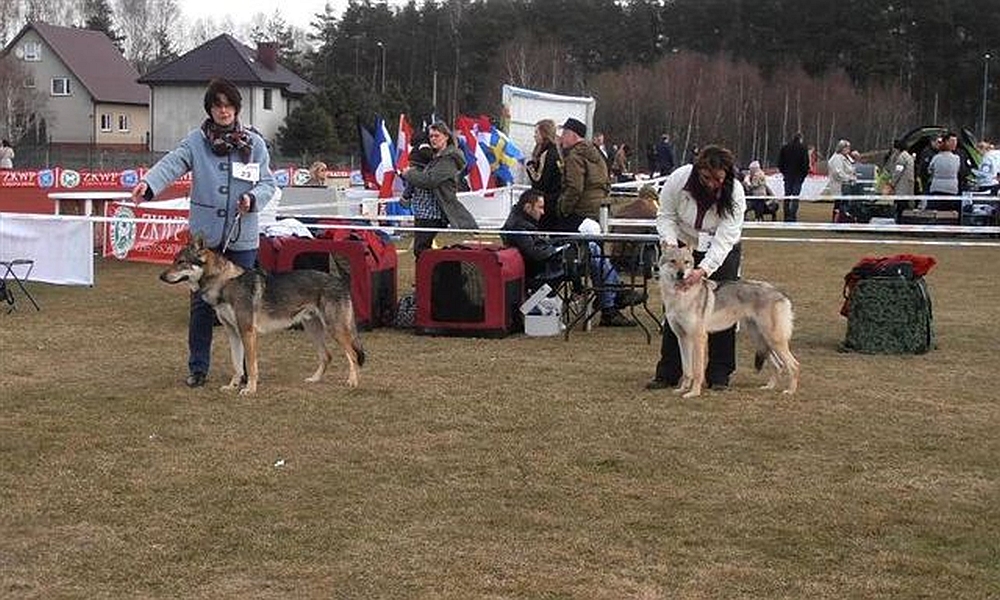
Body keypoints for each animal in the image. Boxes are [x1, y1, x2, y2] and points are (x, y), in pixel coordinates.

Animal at [660, 245, 800, 398]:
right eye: (673, 261)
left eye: (686, 262)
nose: (681, 274)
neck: (680, 296)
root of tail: (781, 293)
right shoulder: (682, 338)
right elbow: (686, 370)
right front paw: (682, 389)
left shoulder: (699, 338)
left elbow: (697, 371)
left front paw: (693, 393)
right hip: (760, 340)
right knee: (778, 365)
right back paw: (768, 387)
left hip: (773, 340)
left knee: (794, 365)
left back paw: (790, 391)